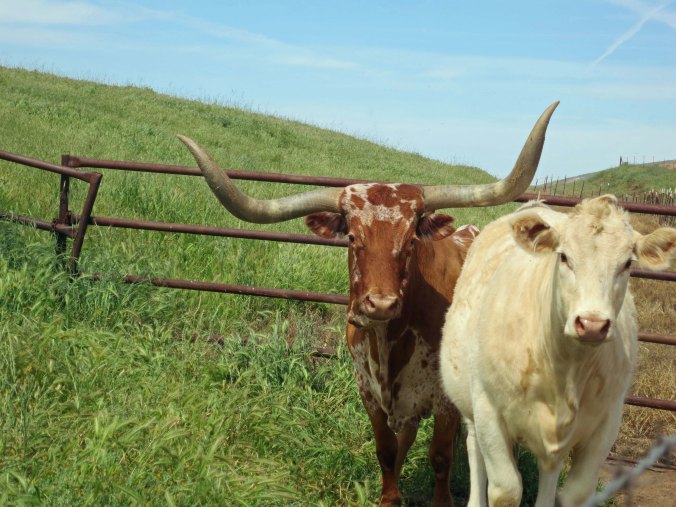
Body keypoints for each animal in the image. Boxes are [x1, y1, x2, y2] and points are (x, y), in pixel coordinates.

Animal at [177, 101, 558, 506]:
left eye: (410, 240)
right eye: (352, 237)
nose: (379, 304)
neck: (388, 344)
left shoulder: (443, 398)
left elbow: (441, 456)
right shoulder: (368, 390)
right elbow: (386, 450)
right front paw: (389, 496)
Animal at [438, 196, 676, 506]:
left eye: (626, 263)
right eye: (563, 257)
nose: (592, 324)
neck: (566, 368)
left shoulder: (607, 422)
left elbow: (575, 491)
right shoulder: (488, 409)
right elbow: (506, 489)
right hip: (469, 403)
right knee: (474, 448)